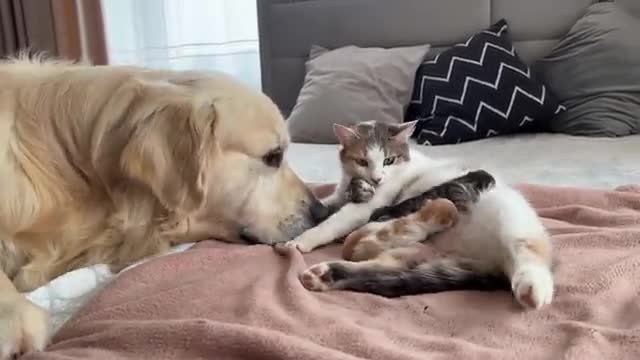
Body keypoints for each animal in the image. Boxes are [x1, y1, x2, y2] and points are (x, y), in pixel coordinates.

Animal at [280, 120, 556, 310]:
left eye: (388, 160)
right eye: (362, 161)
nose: (377, 178)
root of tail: (493, 263)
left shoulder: (371, 203)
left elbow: (335, 221)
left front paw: (301, 240)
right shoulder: (341, 195)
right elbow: (326, 206)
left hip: (511, 218)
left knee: (529, 253)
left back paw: (532, 289)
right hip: (416, 254)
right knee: (381, 270)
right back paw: (325, 275)